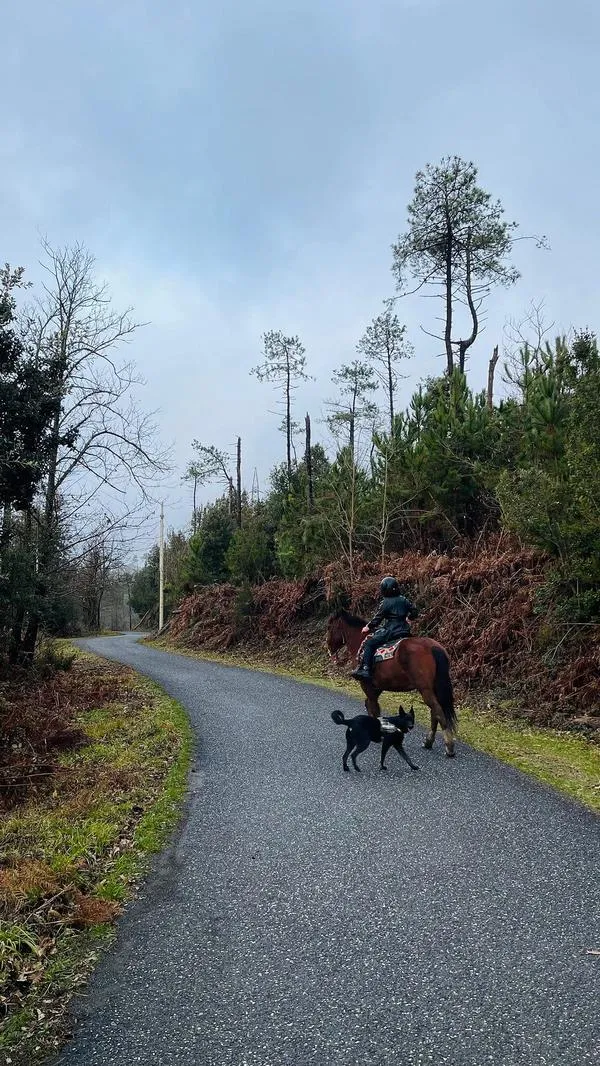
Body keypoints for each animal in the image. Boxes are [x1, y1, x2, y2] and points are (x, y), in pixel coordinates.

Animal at [325, 609, 457, 758]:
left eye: (329, 627)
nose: (328, 647)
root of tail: (433, 647)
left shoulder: (367, 686)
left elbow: (374, 708)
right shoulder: (376, 687)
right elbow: (370, 706)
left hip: (425, 689)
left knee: (437, 711)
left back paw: (449, 746)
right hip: (432, 688)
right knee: (435, 712)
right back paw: (428, 742)